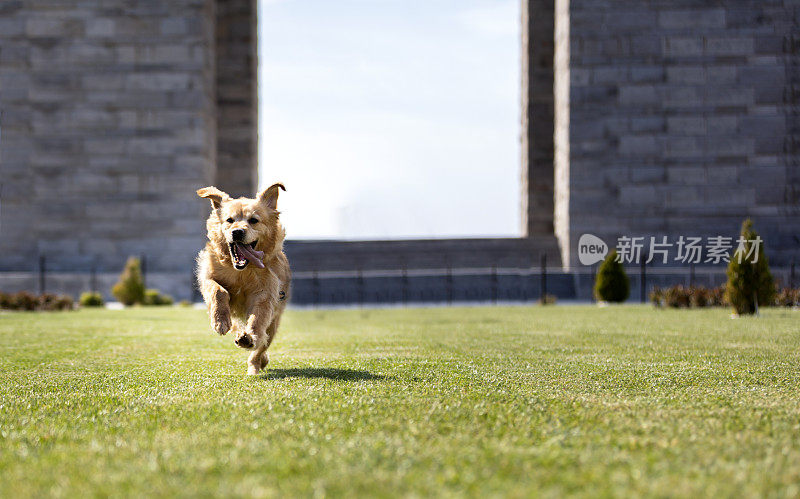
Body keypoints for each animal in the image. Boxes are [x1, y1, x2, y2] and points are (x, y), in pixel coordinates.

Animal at [196, 184, 290, 376]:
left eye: (253, 220)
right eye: (229, 220)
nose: (237, 232)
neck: (242, 272)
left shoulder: (265, 292)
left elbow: (257, 318)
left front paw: (250, 336)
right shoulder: (207, 276)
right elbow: (219, 291)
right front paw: (220, 321)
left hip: (274, 323)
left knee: (261, 345)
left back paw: (254, 362)